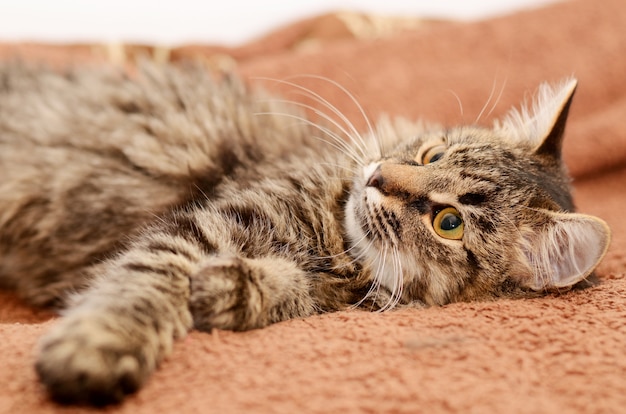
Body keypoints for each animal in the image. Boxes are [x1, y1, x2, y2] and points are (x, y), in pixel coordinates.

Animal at [0, 62, 608, 404]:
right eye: (431, 154)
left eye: (449, 223)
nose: (377, 177)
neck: (337, 247)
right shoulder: (202, 226)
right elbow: (144, 287)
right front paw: (98, 349)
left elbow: (286, 294)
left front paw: (231, 291)